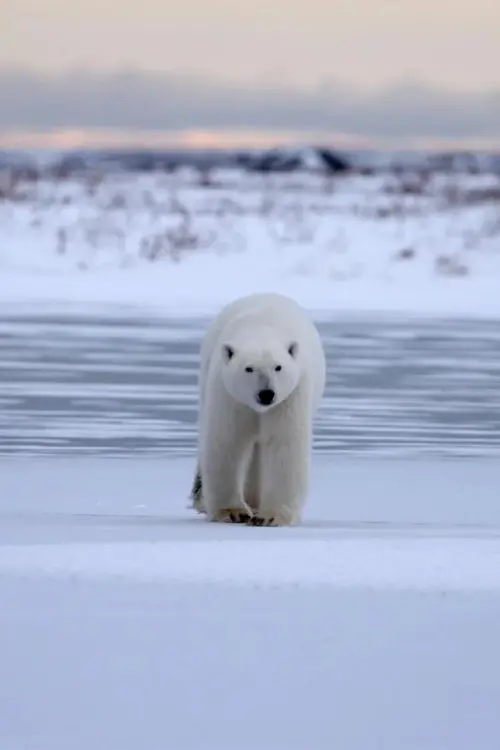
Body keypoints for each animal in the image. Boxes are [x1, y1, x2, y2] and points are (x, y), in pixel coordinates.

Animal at [189, 290, 326, 524]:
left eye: (278, 367)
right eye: (249, 368)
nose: (266, 393)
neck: (261, 329)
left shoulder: (289, 398)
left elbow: (284, 444)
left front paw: (271, 517)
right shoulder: (229, 394)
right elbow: (227, 441)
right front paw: (233, 512)